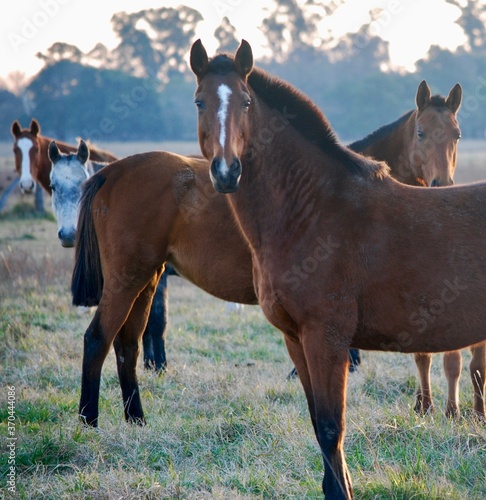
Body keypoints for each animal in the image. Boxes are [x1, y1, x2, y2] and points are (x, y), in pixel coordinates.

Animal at [350, 83, 486, 418]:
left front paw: (449, 409)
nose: (442, 183)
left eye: (457, 134)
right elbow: (424, 355)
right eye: (421, 132)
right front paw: (425, 405)